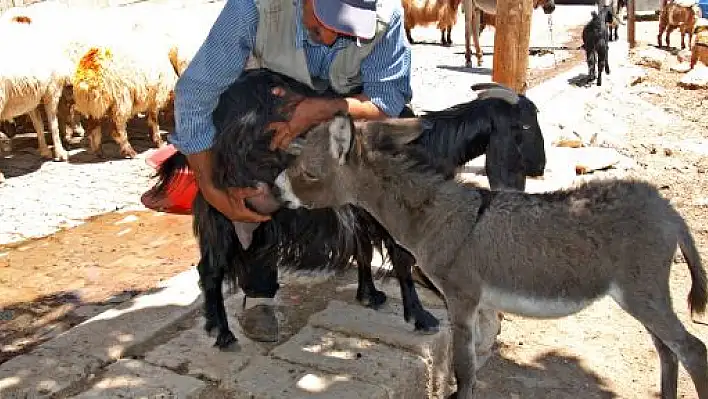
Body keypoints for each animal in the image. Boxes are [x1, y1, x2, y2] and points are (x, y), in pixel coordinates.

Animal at [276, 114, 708, 399]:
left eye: (310, 172)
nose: (276, 188)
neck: (436, 215)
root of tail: (667, 208)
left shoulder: (461, 298)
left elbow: (463, 368)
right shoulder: (480, 304)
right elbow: (473, 363)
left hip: (642, 293)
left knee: (692, 350)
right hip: (640, 296)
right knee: (667, 352)